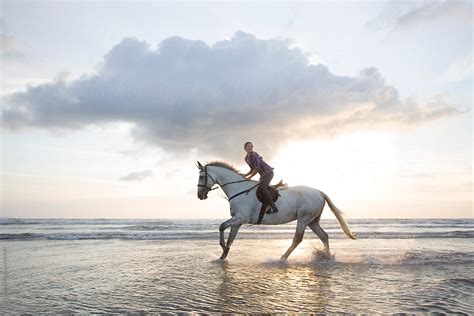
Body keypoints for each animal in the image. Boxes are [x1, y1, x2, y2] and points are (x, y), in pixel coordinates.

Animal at [196, 160, 356, 260]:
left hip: (304, 218)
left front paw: (222, 247)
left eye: (202, 176)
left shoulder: (240, 218)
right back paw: (327, 257)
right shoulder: (238, 221)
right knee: (324, 236)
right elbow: (230, 237)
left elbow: (221, 226)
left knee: (298, 239)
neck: (238, 189)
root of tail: (319, 192)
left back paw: (283, 257)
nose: (200, 196)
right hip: (313, 221)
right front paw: (223, 254)